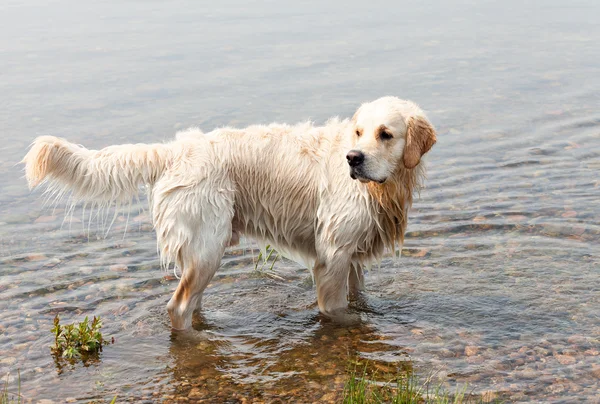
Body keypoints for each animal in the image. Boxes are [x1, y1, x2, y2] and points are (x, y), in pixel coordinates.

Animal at [23, 97, 436, 328]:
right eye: (358, 132)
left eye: (385, 134)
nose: (353, 158)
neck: (385, 188)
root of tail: (174, 150)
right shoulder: (332, 255)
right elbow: (335, 310)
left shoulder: (352, 254)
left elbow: (359, 296)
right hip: (207, 244)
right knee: (177, 306)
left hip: (200, 253)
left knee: (191, 303)